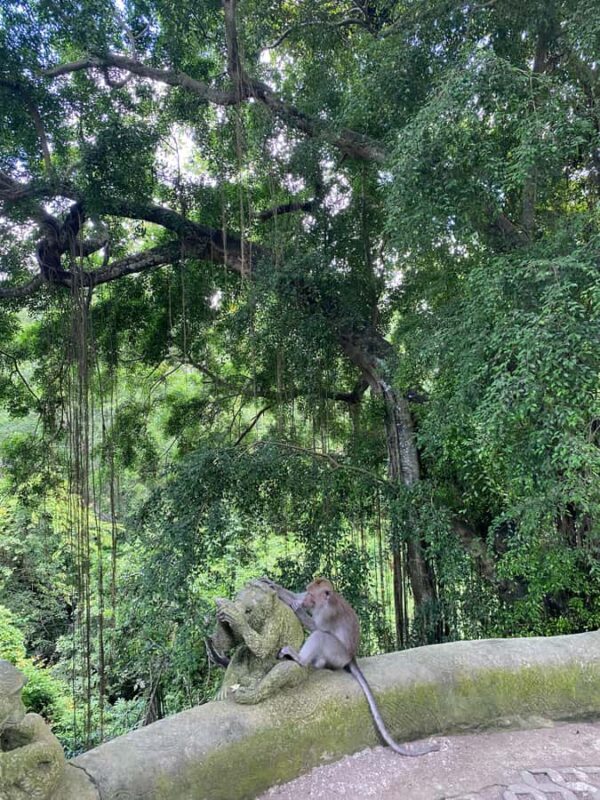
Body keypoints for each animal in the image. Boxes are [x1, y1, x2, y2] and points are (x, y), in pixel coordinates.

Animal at [265, 577, 439, 757]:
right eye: (308, 592)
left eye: (312, 595)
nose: (306, 600)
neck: (324, 603)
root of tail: (351, 656)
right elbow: (294, 596)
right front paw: (274, 586)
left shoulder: (328, 614)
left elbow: (316, 627)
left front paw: (294, 605)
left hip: (338, 653)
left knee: (321, 635)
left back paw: (301, 660)